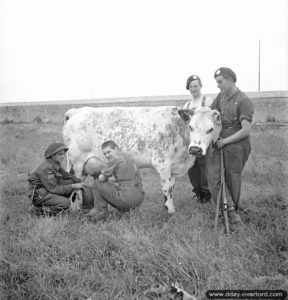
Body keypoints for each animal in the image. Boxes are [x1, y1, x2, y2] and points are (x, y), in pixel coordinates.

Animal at [62, 105, 220, 213]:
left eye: (211, 129)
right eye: (191, 126)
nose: (195, 149)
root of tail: (76, 111)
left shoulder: (173, 166)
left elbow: (172, 187)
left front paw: (171, 207)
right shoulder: (162, 163)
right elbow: (167, 188)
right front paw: (169, 211)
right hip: (76, 163)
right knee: (74, 185)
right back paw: (75, 210)